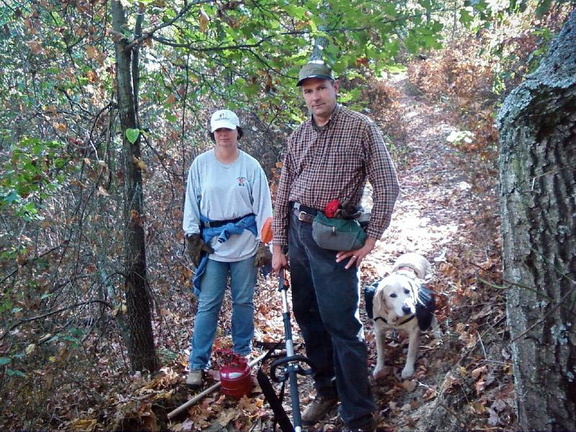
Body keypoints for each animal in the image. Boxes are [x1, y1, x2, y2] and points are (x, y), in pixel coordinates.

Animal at [364, 251, 436, 380]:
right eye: (392, 295)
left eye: (407, 291)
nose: (407, 308)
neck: (394, 317)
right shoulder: (378, 331)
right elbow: (380, 352)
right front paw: (379, 368)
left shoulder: (414, 331)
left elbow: (411, 352)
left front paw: (408, 369)